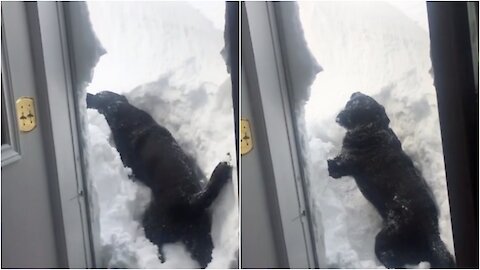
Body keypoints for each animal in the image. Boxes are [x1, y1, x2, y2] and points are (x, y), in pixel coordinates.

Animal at [86, 90, 232, 268]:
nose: (87, 97)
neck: (123, 112)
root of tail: (190, 201)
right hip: (199, 237)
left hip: (153, 223)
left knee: (155, 243)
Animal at [326, 91, 454, 268]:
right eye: (349, 104)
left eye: (359, 112)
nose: (339, 117)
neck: (372, 130)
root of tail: (432, 231)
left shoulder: (345, 163)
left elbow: (335, 166)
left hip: (385, 237)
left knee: (391, 259)